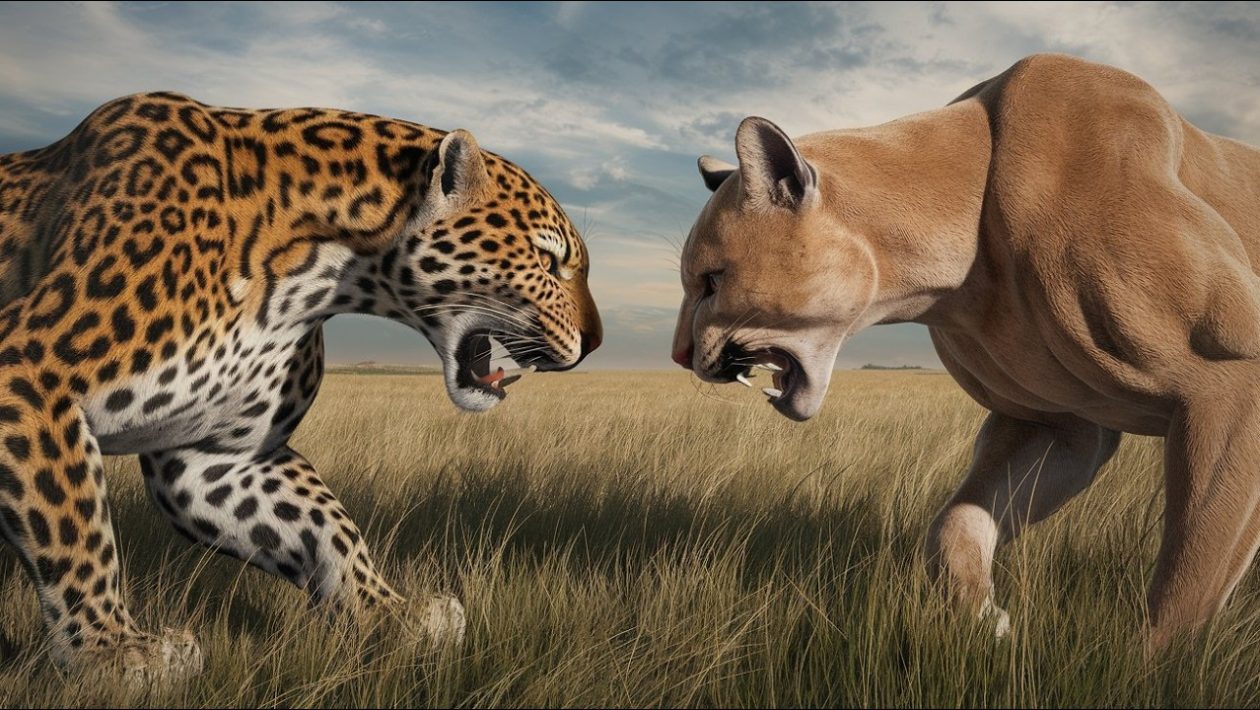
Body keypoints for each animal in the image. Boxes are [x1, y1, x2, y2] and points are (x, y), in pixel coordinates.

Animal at [0, 91, 602, 678]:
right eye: (547, 260)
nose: (595, 341)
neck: (316, 271)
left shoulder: (215, 458)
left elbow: (325, 523)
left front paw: (388, 615)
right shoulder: (28, 371)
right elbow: (76, 526)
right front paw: (111, 651)